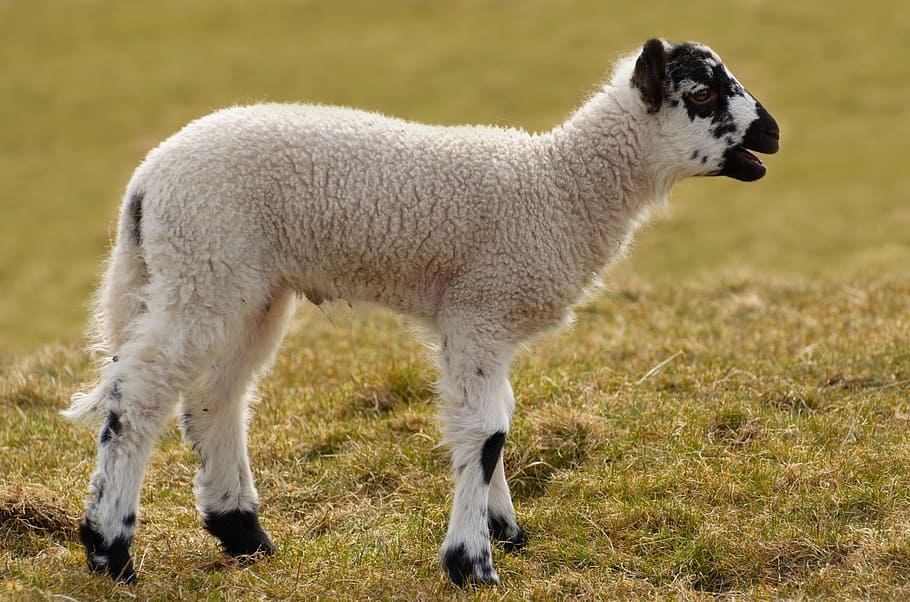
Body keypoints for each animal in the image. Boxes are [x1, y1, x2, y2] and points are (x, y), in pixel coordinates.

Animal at [64, 38, 779, 586]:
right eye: (703, 95)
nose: (773, 133)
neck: (561, 187)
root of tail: (147, 181)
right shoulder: (480, 308)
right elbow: (486, 433)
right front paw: (473, 564)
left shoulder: (483, 321)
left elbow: (496, 421)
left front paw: (505, 531)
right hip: (202, 265)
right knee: (139, 394)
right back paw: (110, 552)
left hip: (245, 284)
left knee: (217, 396)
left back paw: (243, 533)